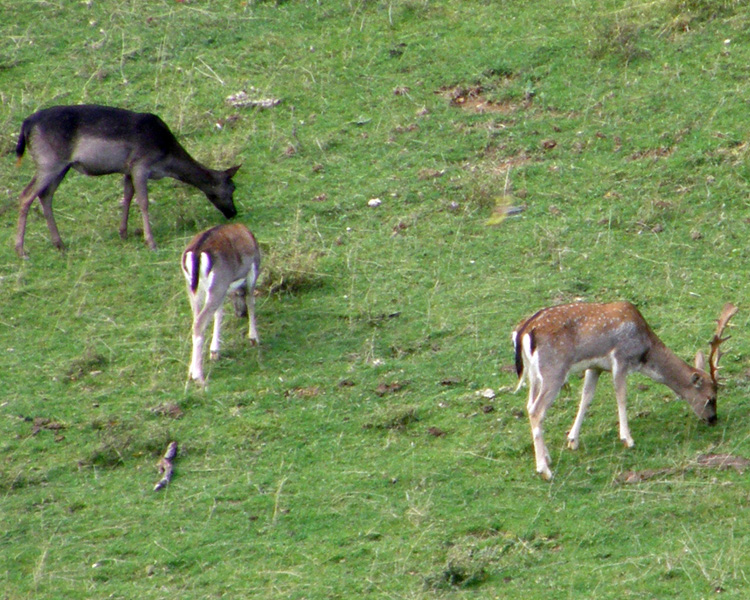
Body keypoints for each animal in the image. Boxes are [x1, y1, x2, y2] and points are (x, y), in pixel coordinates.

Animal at [13, 104, 241, 256]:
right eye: (232, 188)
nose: (233, 212)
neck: (166, 158)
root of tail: (26, 125)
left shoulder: (128, 169)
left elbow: (128, 196)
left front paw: (123, 233)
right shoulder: (141, 164)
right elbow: (143, 202)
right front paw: (151, 242)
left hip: (61, 166)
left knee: (45, 195)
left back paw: (59, 244)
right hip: (49, 162)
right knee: (25, 195)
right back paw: (21, 250)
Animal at [182, 221, 262, 384]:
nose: (240, 313)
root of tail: (197, 253)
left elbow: (219, 313)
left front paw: (215, 351)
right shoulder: (253, 269)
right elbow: (251, 300)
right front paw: (254, 338)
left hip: (194, 289)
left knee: (196, 319)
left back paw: (191, 370)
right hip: (217, 284)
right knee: (200, 323)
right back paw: (198, 376)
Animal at [516, 302, 736, 480]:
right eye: (710, 397)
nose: (713, 419)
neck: (644, 351)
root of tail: (524, 331)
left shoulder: (595, 367)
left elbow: (586, 398)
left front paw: (573, 440)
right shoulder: (621, 358)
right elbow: (621, 396)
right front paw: (627, 439)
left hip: (534, 374)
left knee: (529, 405)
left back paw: (546, 456)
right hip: (554, 369)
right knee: (537, 410)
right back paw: (544, 470)